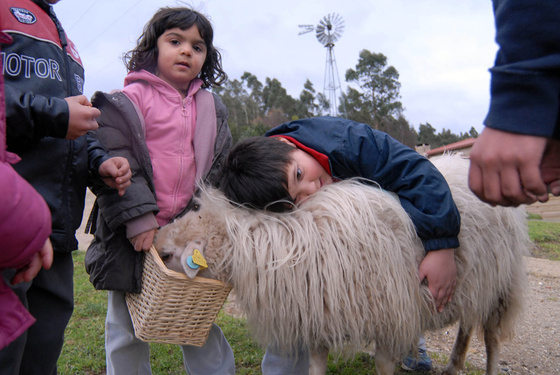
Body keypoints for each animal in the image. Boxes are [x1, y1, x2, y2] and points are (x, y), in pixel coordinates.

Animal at [156, 154, 528, 374]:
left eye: (170, 256)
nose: (155, 245)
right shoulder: (321, 313)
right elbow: (317, 365)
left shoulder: (389, 316)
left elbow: (383, 365)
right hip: (477, 282)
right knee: (467, 323)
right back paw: (453, 364)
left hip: (502, 283)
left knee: (491, 337)